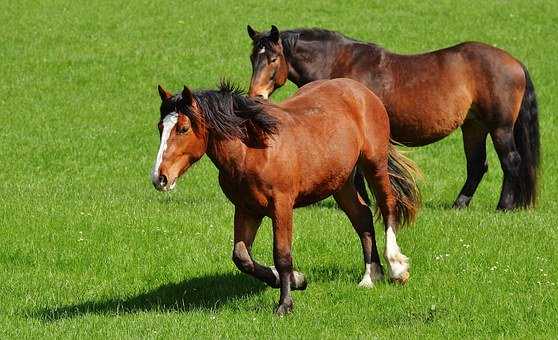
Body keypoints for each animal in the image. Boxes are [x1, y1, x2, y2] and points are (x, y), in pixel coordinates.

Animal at [151, 78, 422, 314]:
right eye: (160, 127)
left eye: (183, 128)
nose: (159, 178)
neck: (253, 150)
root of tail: (361, 90)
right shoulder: (247, 209)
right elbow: (242, 257)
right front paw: (297, 279)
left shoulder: (281, 206)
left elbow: (282, 255)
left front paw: (285, 303)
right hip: (340, 182)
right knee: (362, 217)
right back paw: (370, 276)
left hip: (374, 164)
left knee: (387, 206)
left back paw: (396, 268)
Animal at [247, 25, 540, 211]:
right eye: (252, 57)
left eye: (273, 59)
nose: (256, 95)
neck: (339, 65)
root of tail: (514, 62)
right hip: (473, 127)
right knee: (478, 165)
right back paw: (460, 205)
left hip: (500, 128)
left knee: (511, 161)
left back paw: (504, 206)